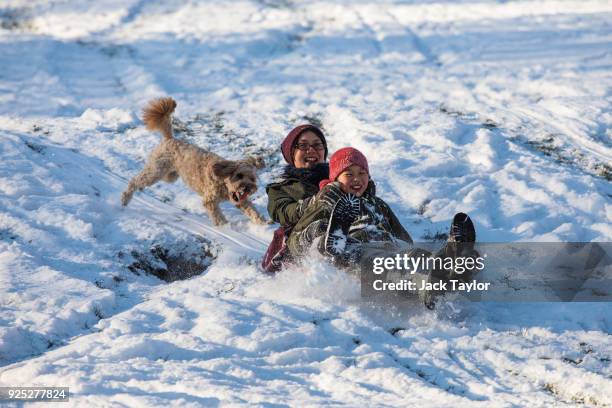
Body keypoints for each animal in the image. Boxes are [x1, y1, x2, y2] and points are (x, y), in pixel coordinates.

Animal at [122, 98, 268, 226]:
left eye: (252, 179)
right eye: (239, 175)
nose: (247, 188)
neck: (222, 180)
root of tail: (170, 139)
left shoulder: (240, 201)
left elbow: (253, 211)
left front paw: (263, 224)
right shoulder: (210, 200)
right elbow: (218, 216)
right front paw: (225, 226)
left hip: (170, 176)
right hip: (157, 171)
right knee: (136, 180)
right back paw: (125, 198)